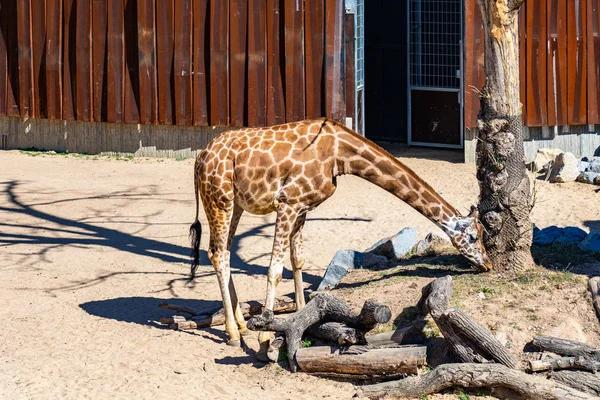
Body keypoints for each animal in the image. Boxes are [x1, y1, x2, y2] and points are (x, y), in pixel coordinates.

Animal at [190, 118, 494, 354]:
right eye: (473, 237)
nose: (488, 264)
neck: (339, 155)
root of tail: (200, 157)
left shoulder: (302, 207)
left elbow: (297, 261)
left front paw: (303, 320)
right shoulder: (287, 202)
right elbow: (275, 269)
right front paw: (265, 335)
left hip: (236, 203)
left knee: (221, 251)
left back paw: (241, 325)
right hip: (220, 200)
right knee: (219, 254)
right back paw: (233, 334)